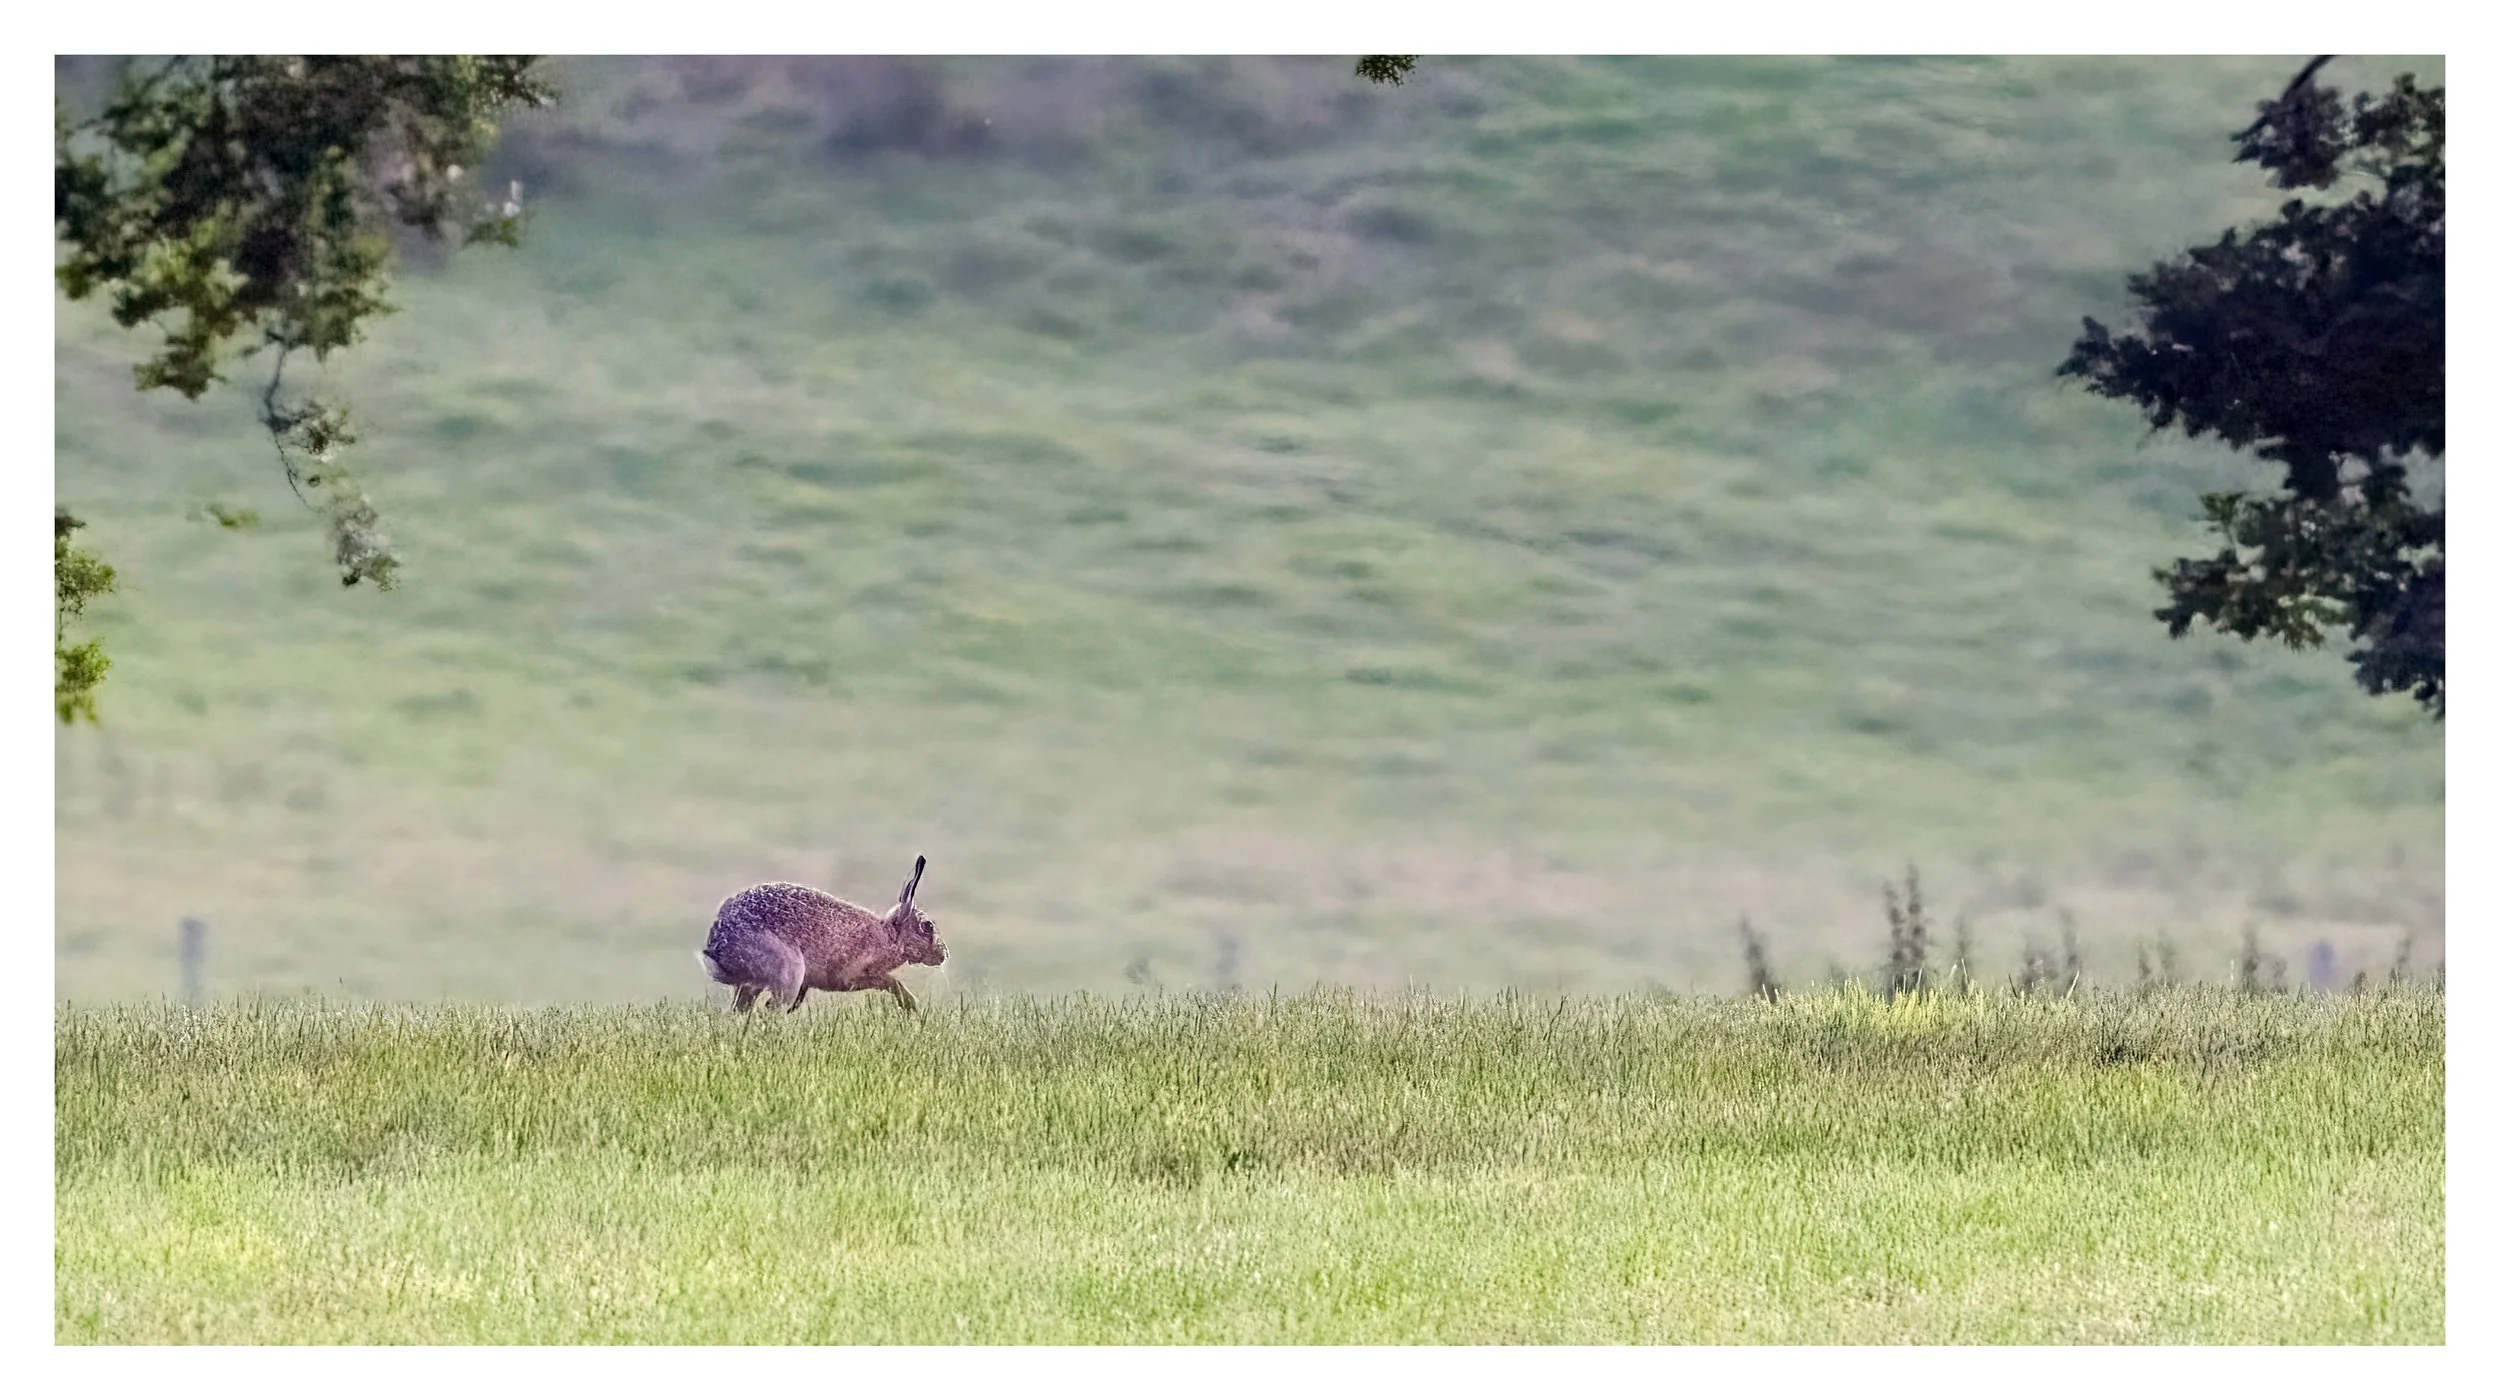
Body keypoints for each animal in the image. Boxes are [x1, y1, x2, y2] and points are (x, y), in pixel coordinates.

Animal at [699, 854, 944, 1012]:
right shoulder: (858, 974)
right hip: (788, 970)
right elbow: (891, 982)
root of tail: (719, 948)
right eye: (928, 927)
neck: (890, 936)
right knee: (772, 1010)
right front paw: (911, 1006)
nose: (943, 955)